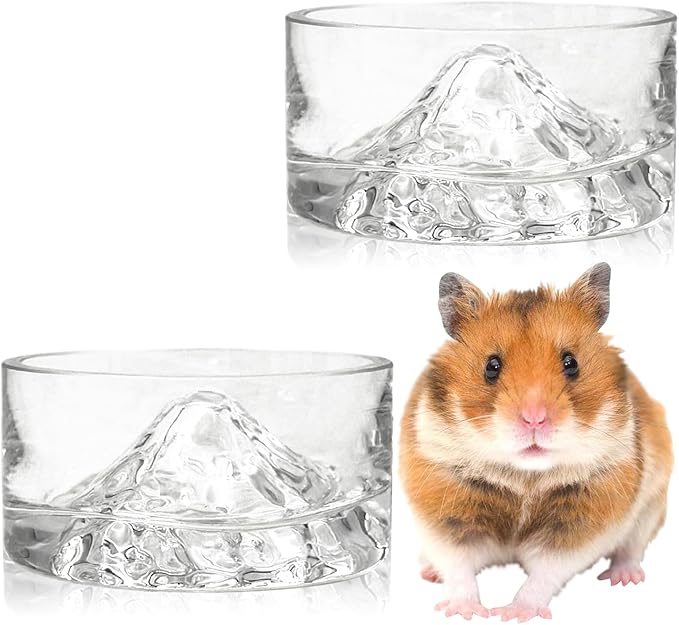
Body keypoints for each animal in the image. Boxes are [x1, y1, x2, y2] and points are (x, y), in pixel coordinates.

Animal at [399, 263, 672, 622]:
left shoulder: (582, 520)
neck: (524, 477)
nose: (534, 419)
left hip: (652, 505)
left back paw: (624, 578)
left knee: (632, 547)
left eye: (571, 363)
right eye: (491, 366)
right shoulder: (444, 509)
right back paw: (429, 572)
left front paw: (513, 613)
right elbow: (458, 566)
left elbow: (545, 572)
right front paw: (463, 612)